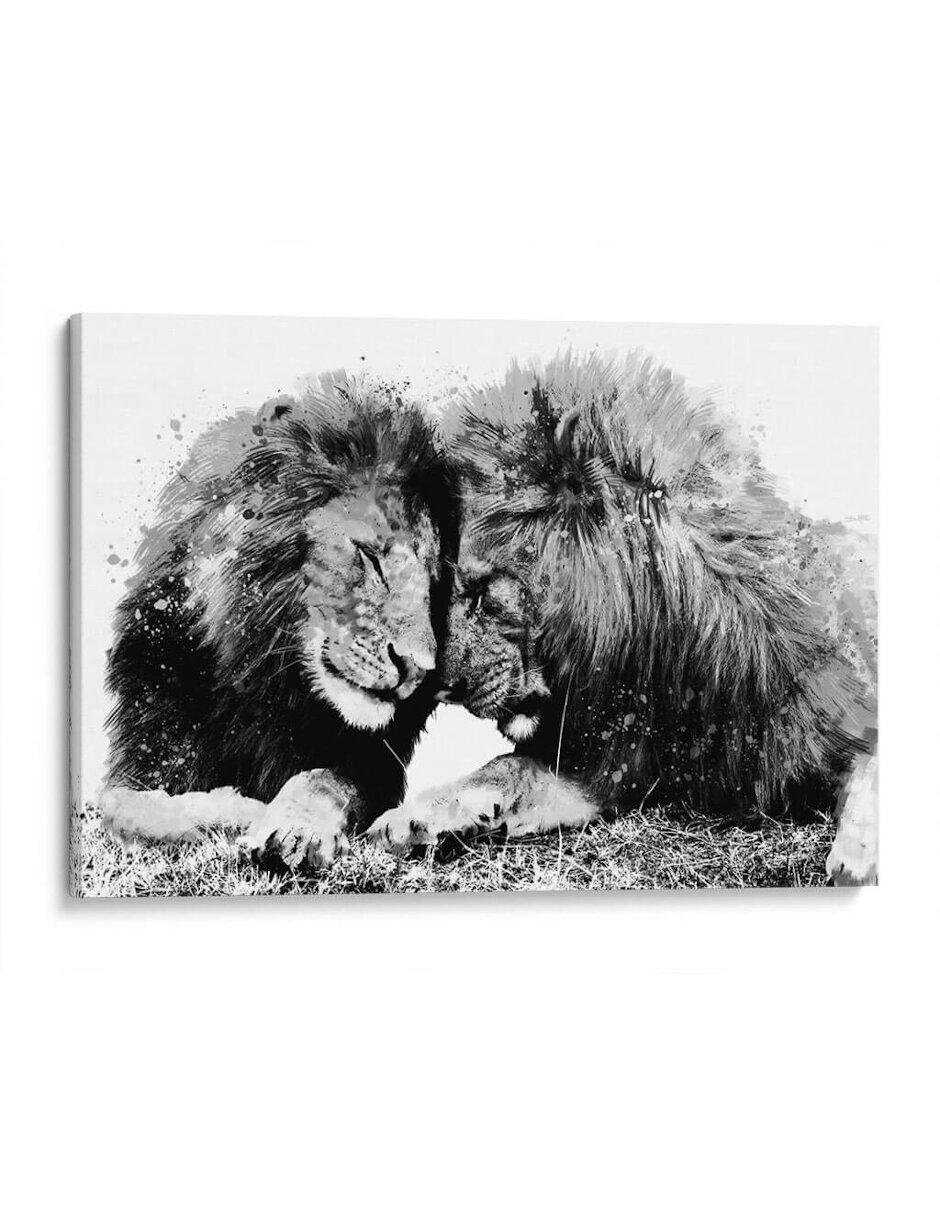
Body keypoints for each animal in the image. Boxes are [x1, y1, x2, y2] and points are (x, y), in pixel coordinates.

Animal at [101, 372, 459, 873]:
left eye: (433, 584)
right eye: (371, 557)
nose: (420, 671)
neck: (264, 687)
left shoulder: (371, 767)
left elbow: (324, 779)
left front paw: (295, 828)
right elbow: (124, 806)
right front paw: (240, 811)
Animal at [368, 353, 878, 885]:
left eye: (484, 590)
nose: (438, 688)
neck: (669, 664)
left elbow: (872, 768)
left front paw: (856, 859)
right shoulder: (606, 768)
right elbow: (503, 768)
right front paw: (407, 819)